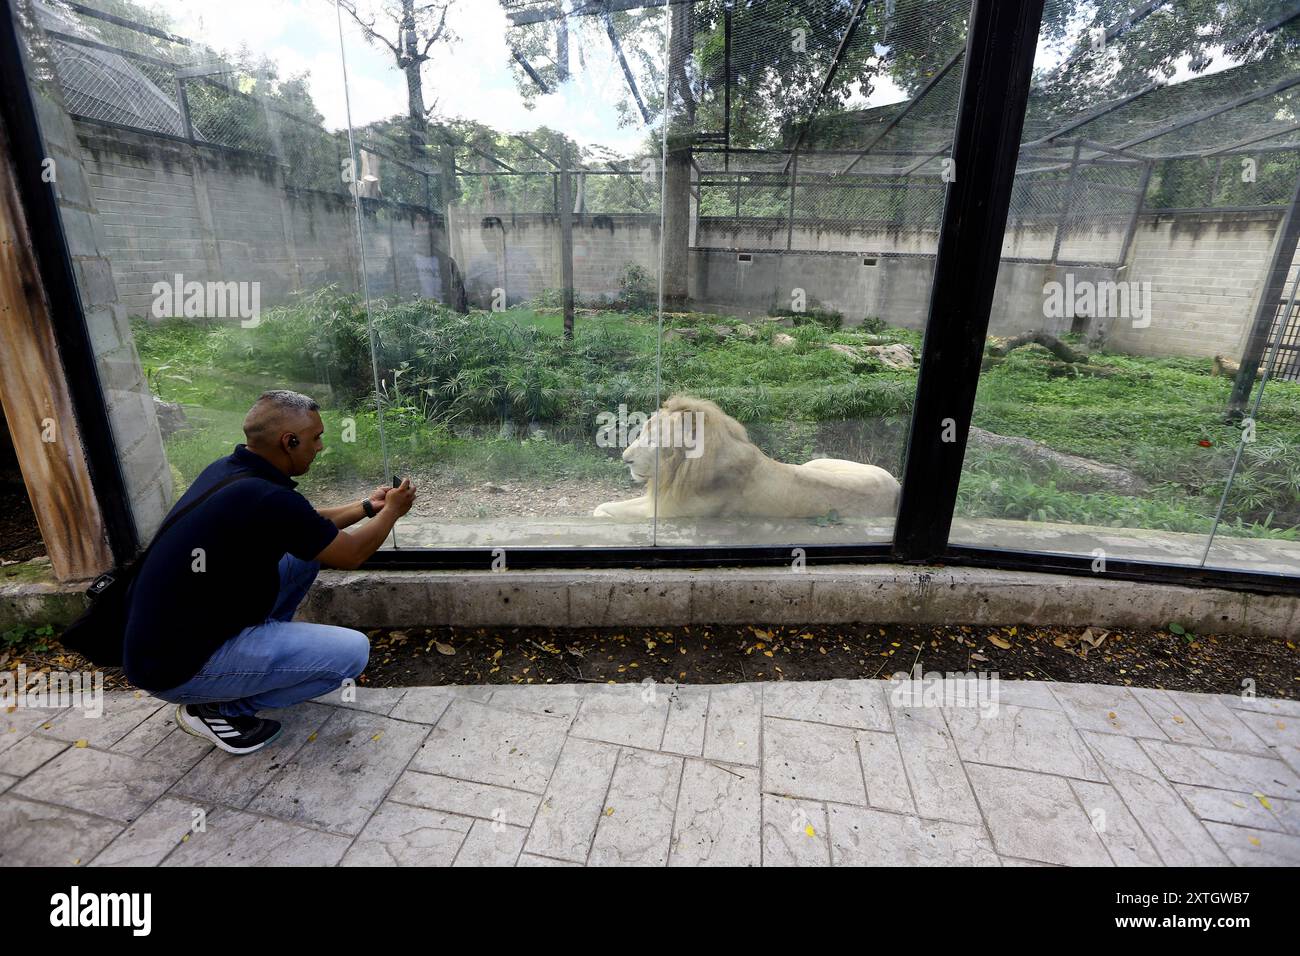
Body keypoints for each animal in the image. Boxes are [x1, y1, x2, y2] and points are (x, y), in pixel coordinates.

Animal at [595, 392, 899, 520]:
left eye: (655, 438)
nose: (625, 458)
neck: (679, 469)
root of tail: (897, 487)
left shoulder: (673, 513)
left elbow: (605, 511)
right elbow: (604, 506)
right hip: (815, 462)